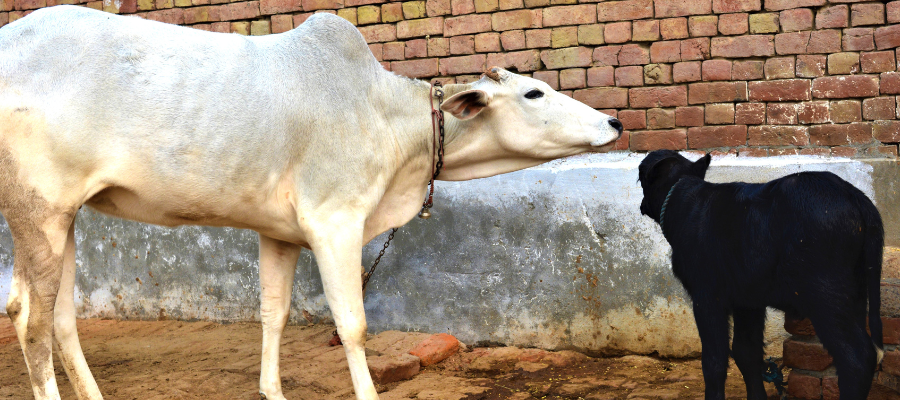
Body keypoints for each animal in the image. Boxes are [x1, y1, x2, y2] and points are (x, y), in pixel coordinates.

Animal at [0, 5, 622, 400]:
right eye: (533, 93)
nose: (614, 123)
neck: (384, 114)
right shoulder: (334, 221)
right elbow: (352, 324)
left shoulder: (278, 232)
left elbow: (272, 314)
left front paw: (271, 390)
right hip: (40, 209)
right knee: (29, 320)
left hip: (64, 217)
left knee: (59, 319)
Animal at [637, 150, 883, 400]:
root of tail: (853, 195)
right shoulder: (748, 300)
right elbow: (746, 352)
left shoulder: (707, 295)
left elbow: (714, 359)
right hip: (856, 292)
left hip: (826, 295)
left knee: (856, 357)